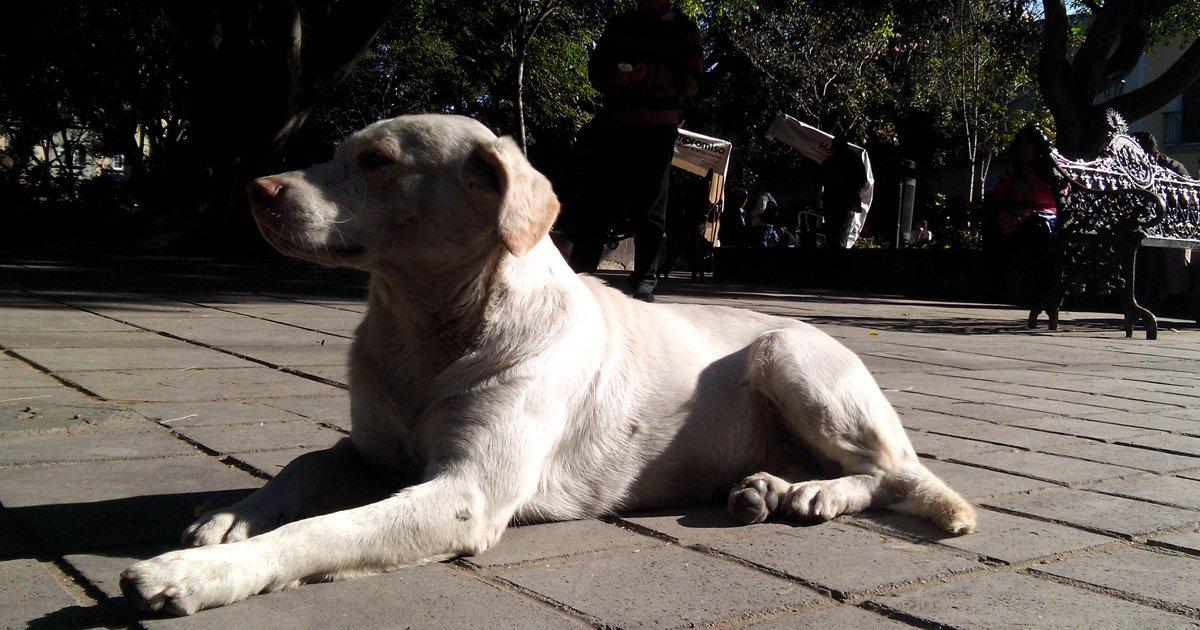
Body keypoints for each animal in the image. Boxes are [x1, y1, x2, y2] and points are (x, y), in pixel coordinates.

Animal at [119, 114, 974, 614]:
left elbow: (320, 532)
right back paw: (773, 488)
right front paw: (230, 518)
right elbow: (303, 465)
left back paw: (815, 497)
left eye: (378, 160)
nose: (256, 188)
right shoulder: (373, 448)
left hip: (789, 354)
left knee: (896, 473)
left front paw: (192, 575)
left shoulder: (463, 495)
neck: (427, 330)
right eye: (334, 153)